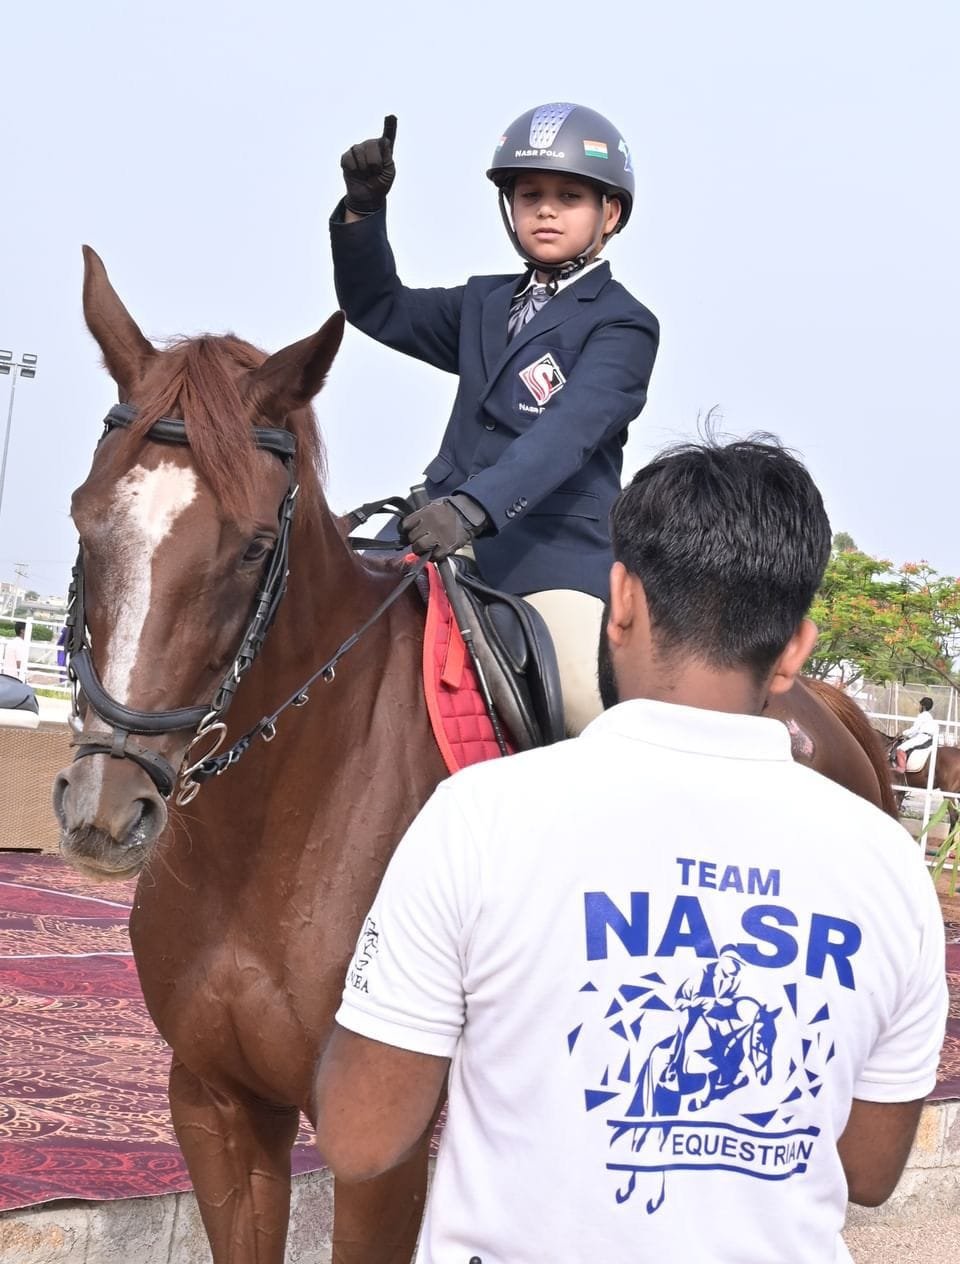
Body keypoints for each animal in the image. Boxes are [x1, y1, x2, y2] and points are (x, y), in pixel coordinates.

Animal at [52, 249, 895, 1264]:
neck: (268, 829)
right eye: (85, 520)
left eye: (255, 548)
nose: (106, 809)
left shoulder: (382, 1142)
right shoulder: (216, 1104)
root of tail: (825, 706)